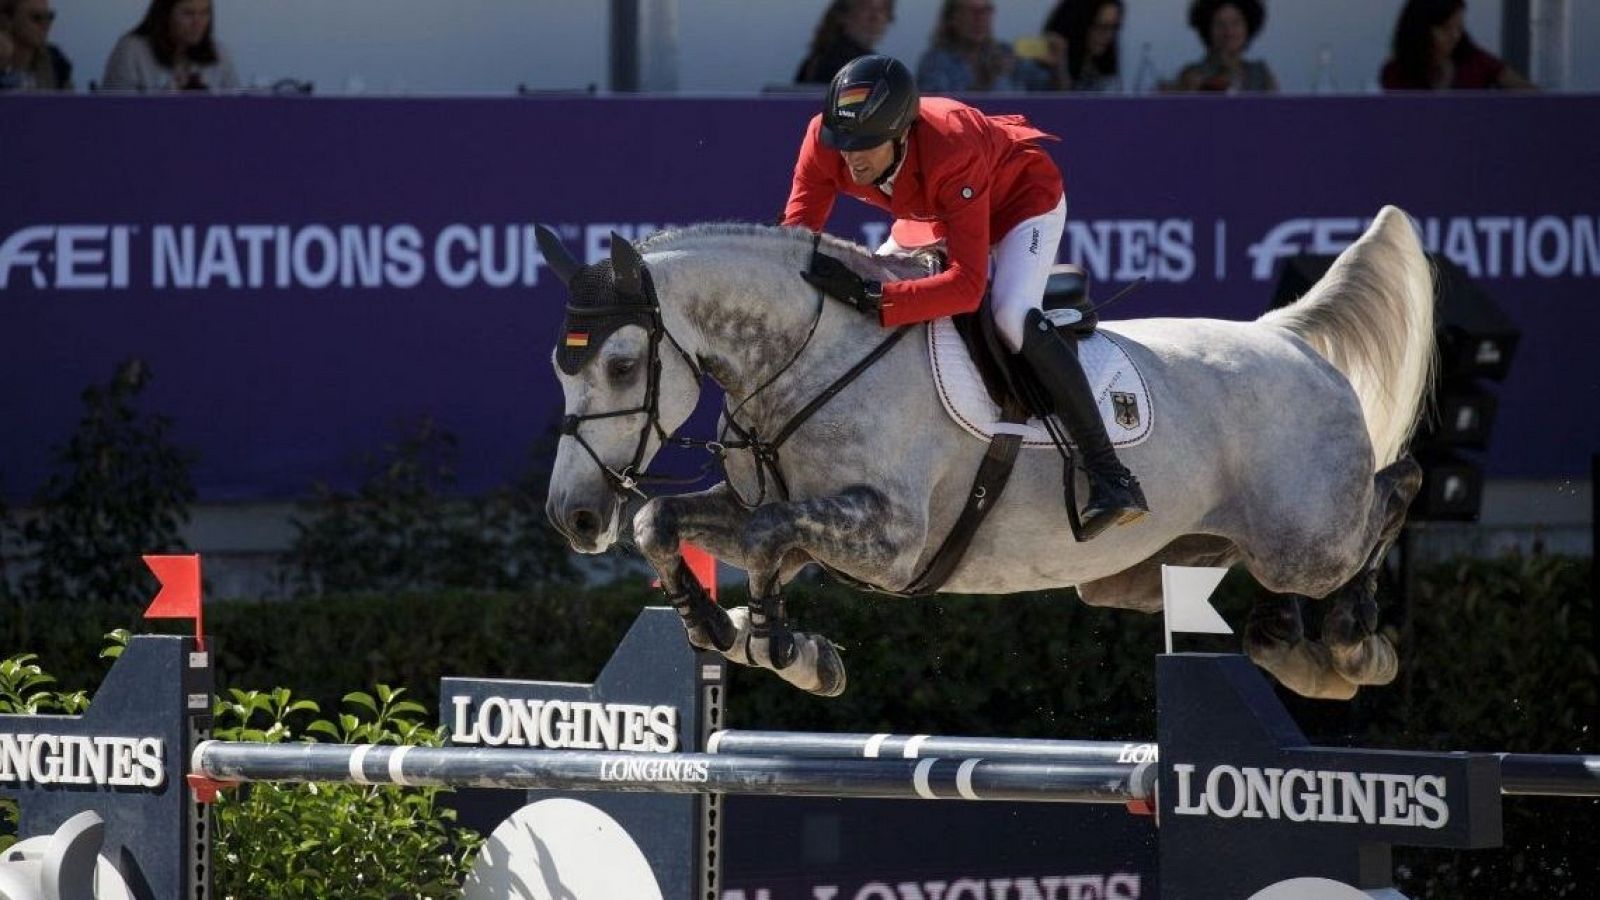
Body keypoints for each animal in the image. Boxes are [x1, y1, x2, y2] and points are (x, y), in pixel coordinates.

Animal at [537, 206, 1440, 698]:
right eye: (560, 365)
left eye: (623, 364)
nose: (573, 516)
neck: (812, 357)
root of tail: (1286, 338)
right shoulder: (782, 516)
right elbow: (662, 521)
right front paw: (725, 631)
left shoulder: (890, 538)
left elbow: (763, 540)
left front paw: (779, 646)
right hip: (1149, 570)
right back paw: (1290, 647)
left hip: (1308, 541)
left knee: (1396, 488)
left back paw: (1356, 644)